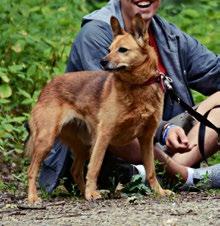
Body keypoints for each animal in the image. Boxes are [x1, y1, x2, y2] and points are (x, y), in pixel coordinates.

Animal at [25, 13, 171, 203]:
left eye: (122, 50)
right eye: (109, 49)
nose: (102, 61)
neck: (138, 86)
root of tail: (47, 87)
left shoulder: (146, 139)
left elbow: (151, 170)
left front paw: (159, 191)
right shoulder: (104, 135)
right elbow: (95, 167)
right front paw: (91, 193)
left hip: (83, 145)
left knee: (75, 170)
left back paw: (82, 193)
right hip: (47, 139)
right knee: (32, 170)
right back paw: (34, 197)